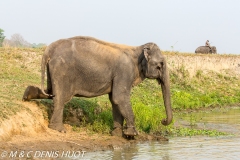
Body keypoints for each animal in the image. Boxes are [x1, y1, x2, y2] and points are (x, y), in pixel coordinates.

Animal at [23, 36, 172, 138]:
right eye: (160, 65)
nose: (163, 120)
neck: (137, 49)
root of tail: (49, 49)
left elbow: (115, 100)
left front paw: (117, 134)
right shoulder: (124, 71)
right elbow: (119, 97)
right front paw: (132, 134)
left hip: (53, 70)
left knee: (50, 91)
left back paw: (26, 95)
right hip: (62, 70)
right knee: (60, 97)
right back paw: (59, 129)